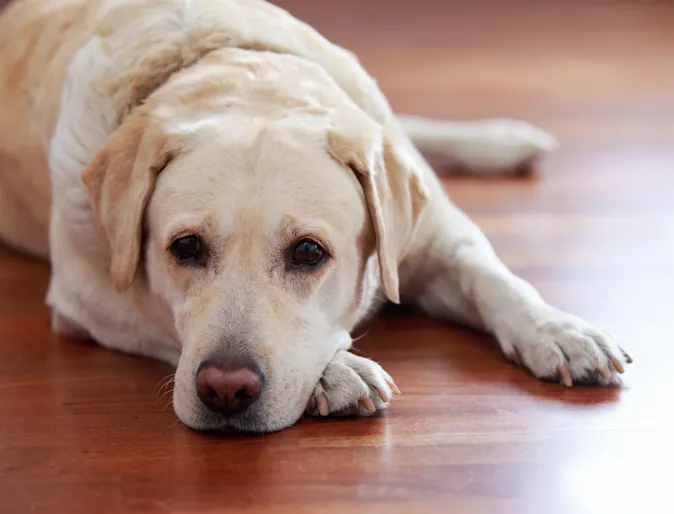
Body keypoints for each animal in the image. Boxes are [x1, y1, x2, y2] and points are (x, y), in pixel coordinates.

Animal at [1, 0, 632, 432]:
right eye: (185, 248)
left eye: (308, 252)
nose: (225, 389)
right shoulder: (88, 297)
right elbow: (163, 319)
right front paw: (337, 370)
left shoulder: (436, 243)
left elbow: (494, 279)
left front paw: (560, 331)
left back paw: (501, 141)